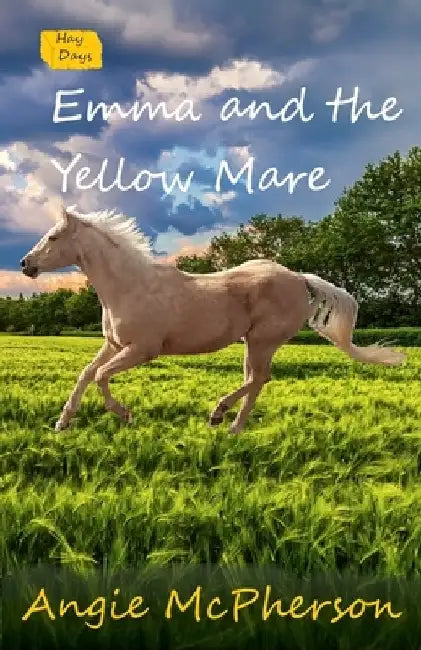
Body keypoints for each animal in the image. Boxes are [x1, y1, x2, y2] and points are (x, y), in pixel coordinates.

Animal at [21, 207, 406, 434]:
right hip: (253, 343)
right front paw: (62, 422)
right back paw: (233, 426)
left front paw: (125, 414)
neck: (130, 286)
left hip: (263, 340)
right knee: (256, 380)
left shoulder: (142, 349)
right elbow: (86, 373)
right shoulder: (114, 344)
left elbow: (100, 375)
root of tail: (299, 278)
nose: (25, 264)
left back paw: (220, 415)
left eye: (53, 236)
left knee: (261, 378)